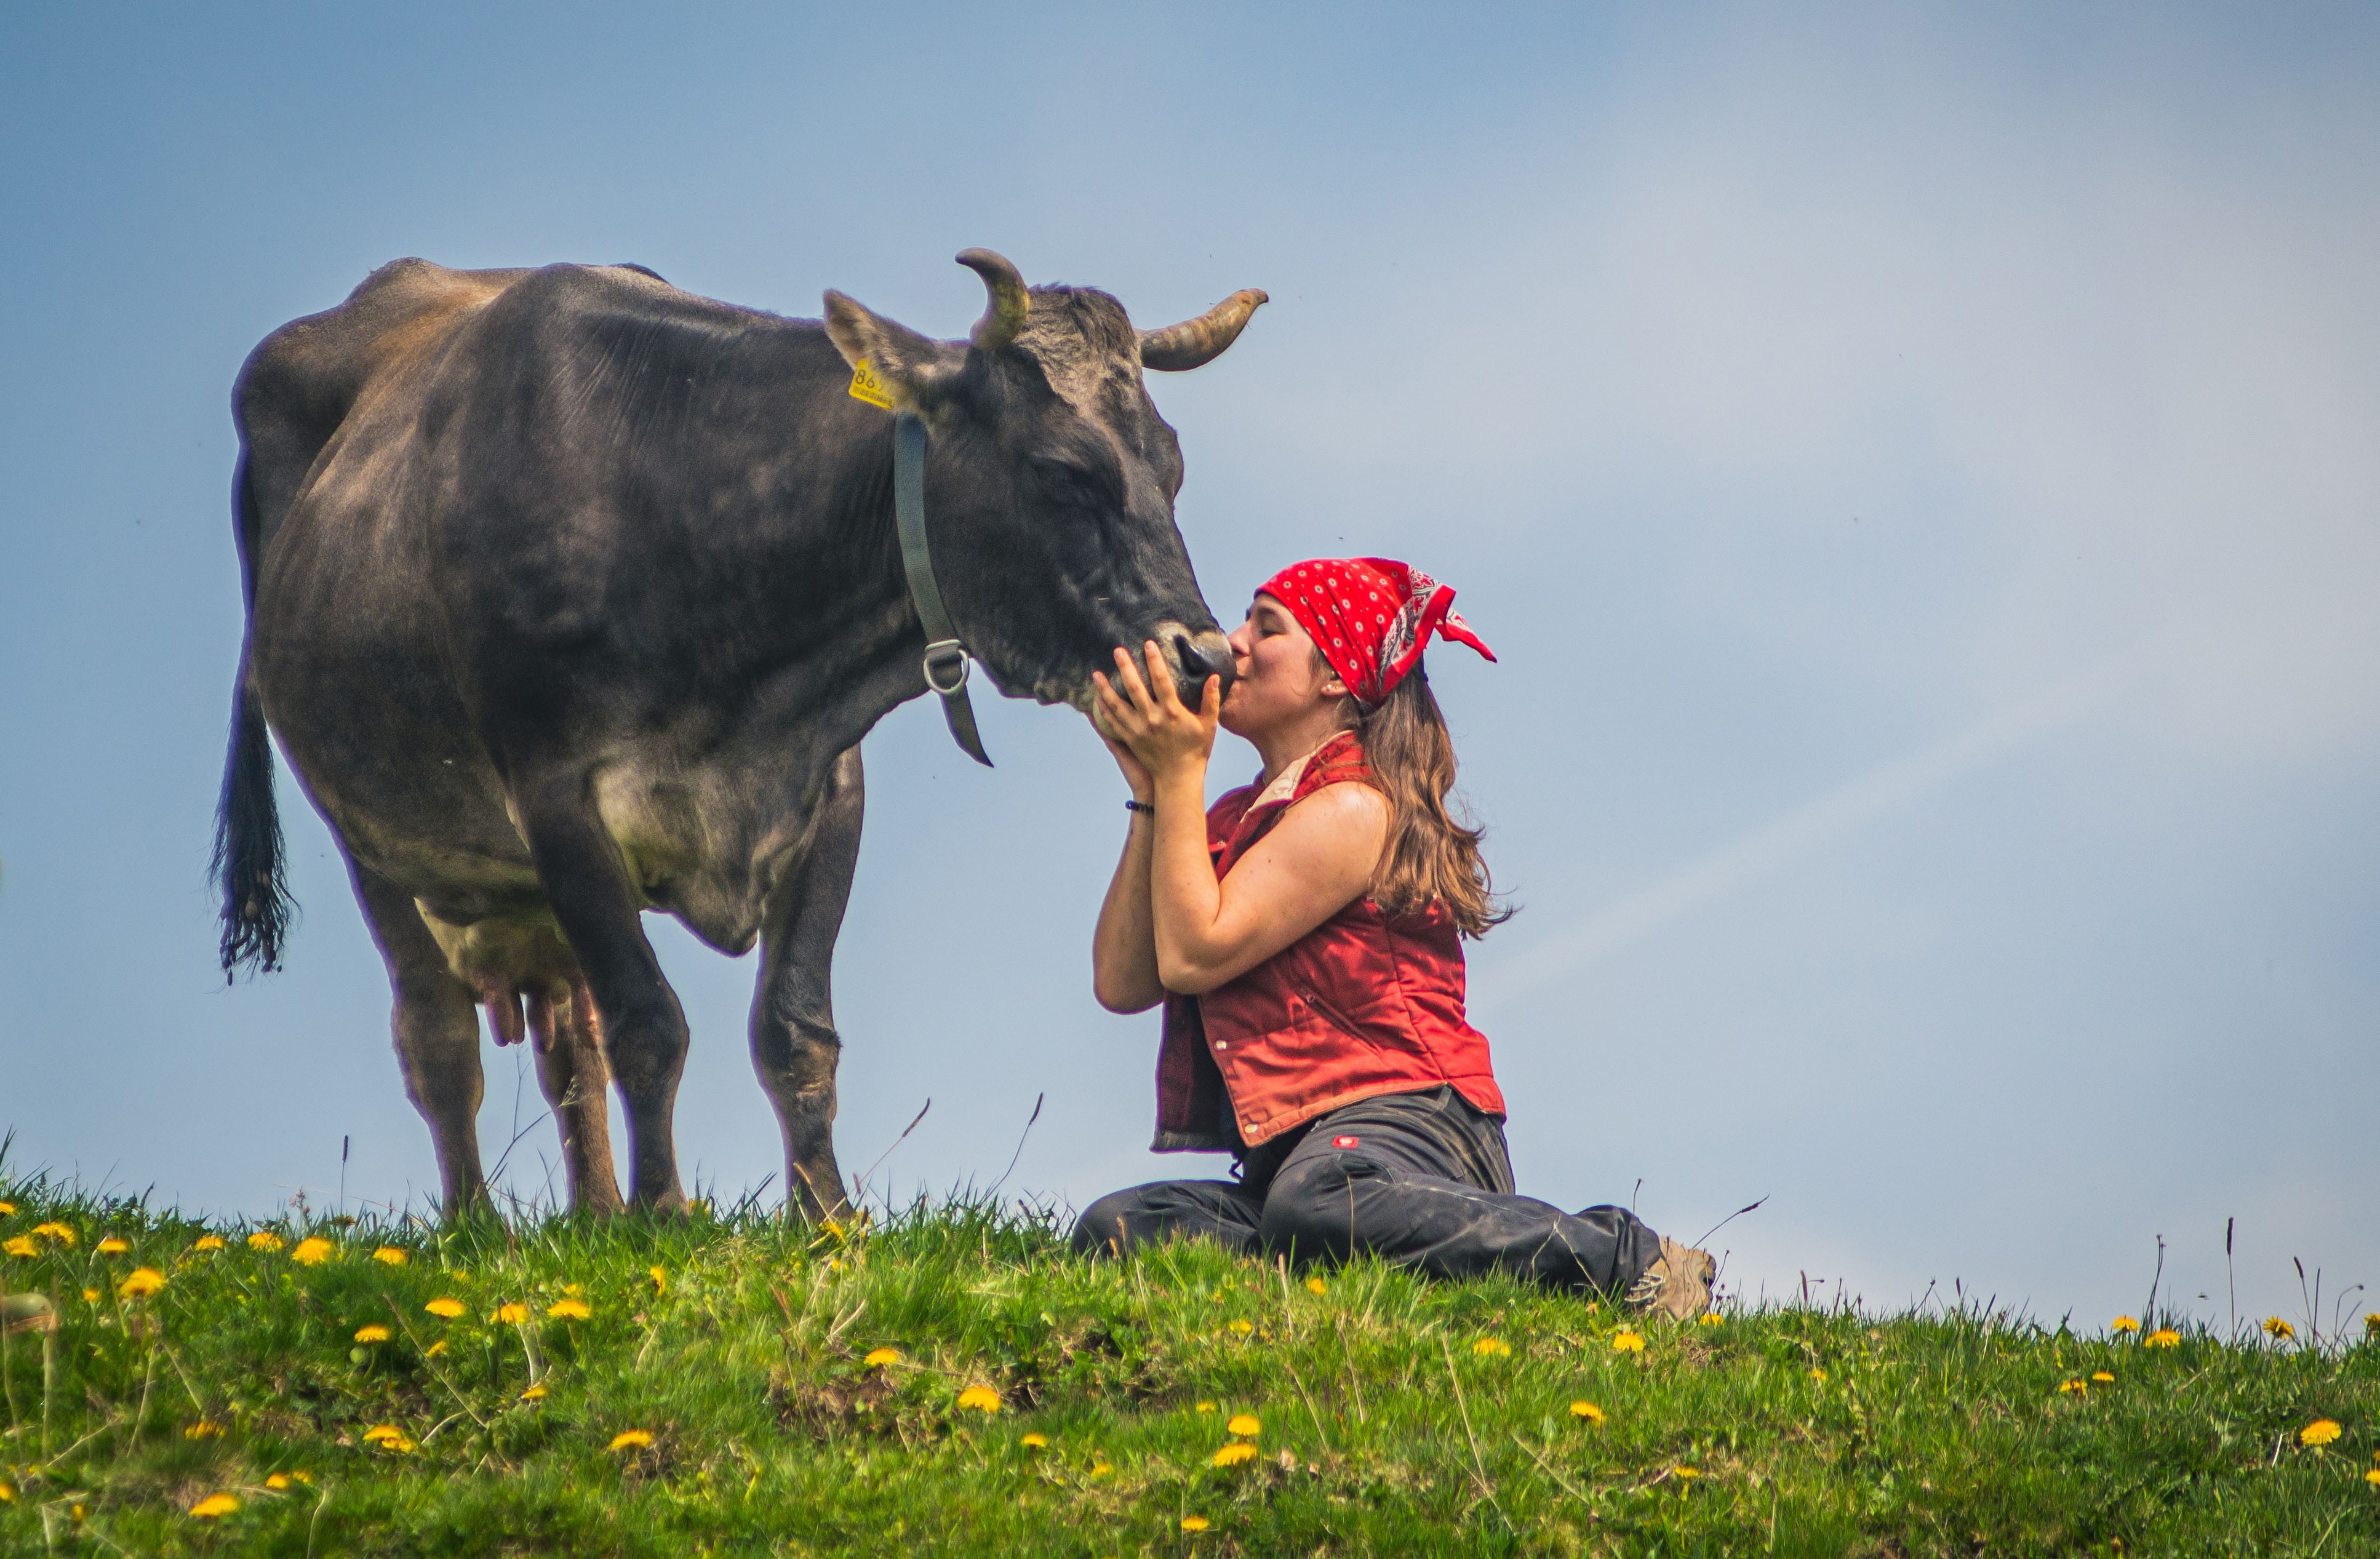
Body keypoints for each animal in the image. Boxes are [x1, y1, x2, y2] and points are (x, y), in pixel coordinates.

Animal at [214, 250, 1262, 1219]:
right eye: (1062, 472)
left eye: (1170, 466)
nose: (1204, 657)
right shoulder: (554, 796)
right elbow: (650, 1024)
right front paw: (662, 1216)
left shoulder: (828, 785)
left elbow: (795, 1030)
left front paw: (828, 1220)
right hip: (374, 838)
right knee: (439, 1043)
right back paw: (482, 1230)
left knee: (567, 1047)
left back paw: (591, 1217)